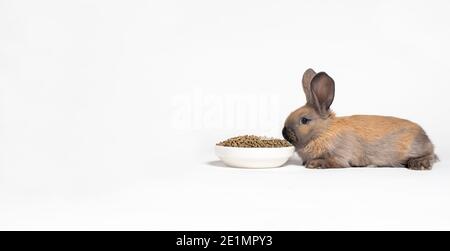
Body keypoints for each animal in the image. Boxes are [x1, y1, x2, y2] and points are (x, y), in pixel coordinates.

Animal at [284, 68, 438, 171]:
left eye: (304, 120)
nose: (284, 133)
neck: (323, 131)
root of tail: (427, 138)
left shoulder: (339, 156)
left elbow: (333, 162)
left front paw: (313, 164)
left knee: (430, 155)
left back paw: (419, 164)